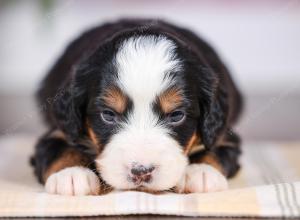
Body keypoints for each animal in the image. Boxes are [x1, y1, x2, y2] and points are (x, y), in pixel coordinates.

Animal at [30, 18, 243, 194]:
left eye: (176, 115)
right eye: (108, 114)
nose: (141, 172)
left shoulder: (225, 136)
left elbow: (215, 151)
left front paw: (201, 172)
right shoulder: (59, 130)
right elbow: (58, 149)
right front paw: (71, 174)